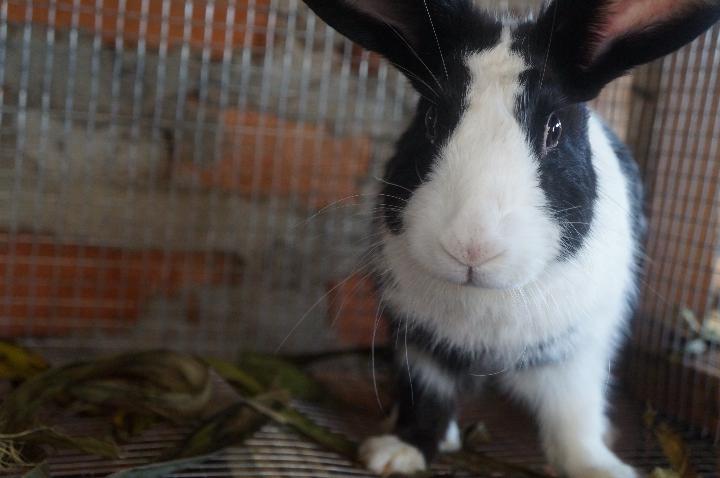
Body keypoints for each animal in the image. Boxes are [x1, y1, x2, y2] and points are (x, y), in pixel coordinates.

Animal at [300, 0, 720, 477]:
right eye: (431, 119)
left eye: (554, 129)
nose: (471, 247)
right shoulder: (418, 343)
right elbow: (426, 399)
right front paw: (398, 453)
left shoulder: (576, 354)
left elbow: (573, 421)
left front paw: (602, 468)